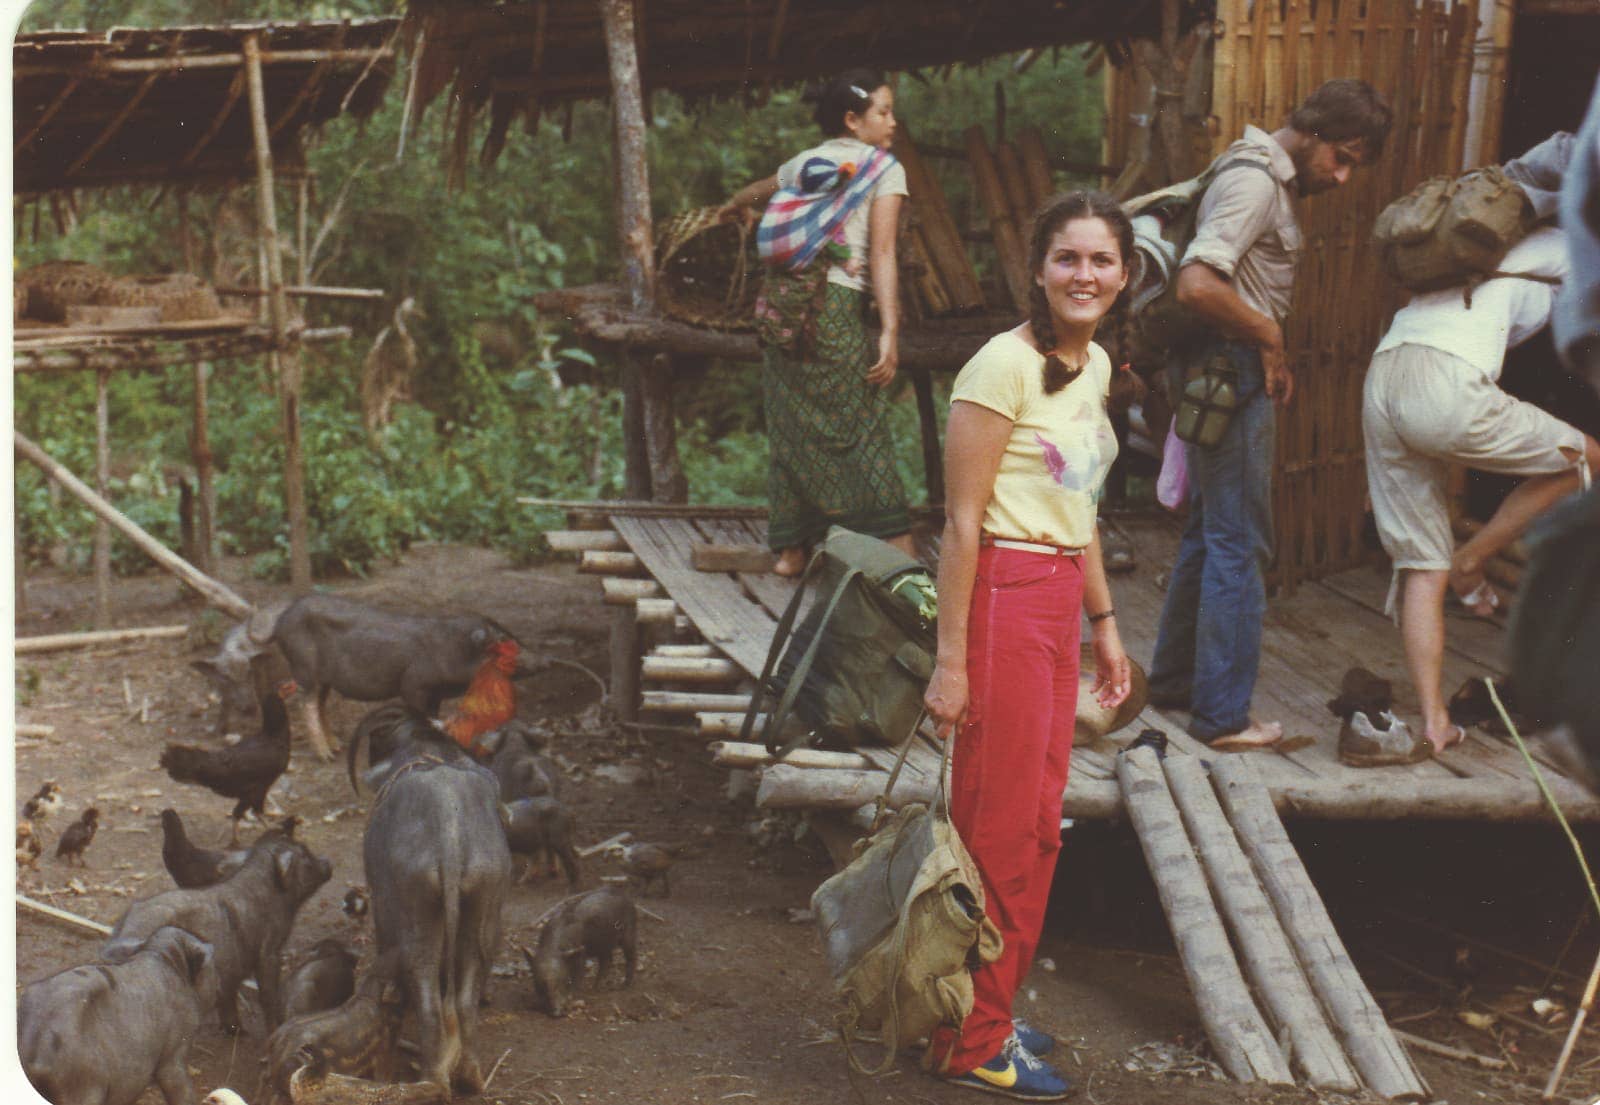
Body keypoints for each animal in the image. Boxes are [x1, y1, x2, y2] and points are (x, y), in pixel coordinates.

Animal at [103, 831, 331, 1036]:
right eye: (305, 855)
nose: (328, 862)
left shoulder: (232, 967)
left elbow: (229, 996)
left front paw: (237, 1031)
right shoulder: (269, 951)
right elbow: (267, 993)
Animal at [366, 726, 508, 1087]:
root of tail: (449, 831)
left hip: (418, 907)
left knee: (428, 996)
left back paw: (433, 1078)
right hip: (484, 895)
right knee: (466, 994)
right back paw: (470, 1076)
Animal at [518, 889, 630, 1017]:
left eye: (565, 981)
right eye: (539, 985)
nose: (556, 1013)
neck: (553, 949)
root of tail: (623, 895)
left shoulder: (581, 952)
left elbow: (579, 974)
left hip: (629, 930)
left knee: (630, 956)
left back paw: (624, 986)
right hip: (604, 946)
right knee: (607, 960)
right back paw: (595, 988)